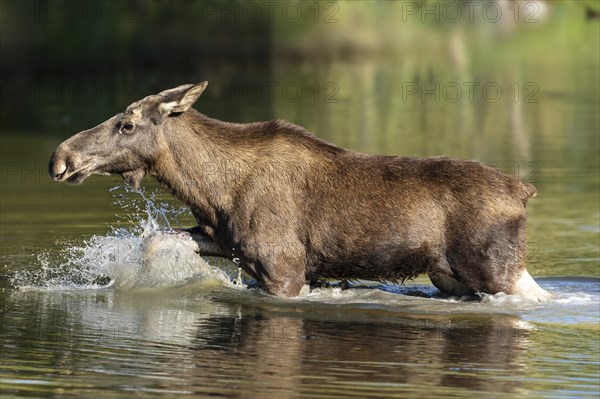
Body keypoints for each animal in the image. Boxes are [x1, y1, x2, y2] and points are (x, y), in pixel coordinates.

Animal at [49, 82, 552, 300]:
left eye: (127, 124)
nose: (61, 157)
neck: (212, 190)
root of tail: (524, 190)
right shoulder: (225, 239)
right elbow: (155, 241)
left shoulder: (284, 268)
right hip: (450, 275)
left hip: (496, 269)